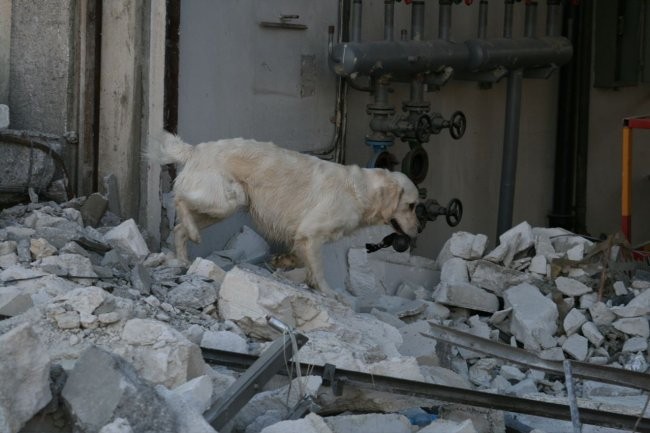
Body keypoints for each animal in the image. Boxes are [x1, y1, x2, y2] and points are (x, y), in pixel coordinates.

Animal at [148, 132, 420, 296]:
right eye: (412, 205)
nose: (418, 231)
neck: (360, 190)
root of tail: (194, 150)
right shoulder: (312, 232)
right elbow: (319, 269)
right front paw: (328, 292)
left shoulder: (302, 236)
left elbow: (300, 258)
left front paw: (282, 261)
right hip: (225, 200)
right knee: (179, 199)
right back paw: (193, 235)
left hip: (222, 207)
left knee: (179, 228)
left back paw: (183, 259)